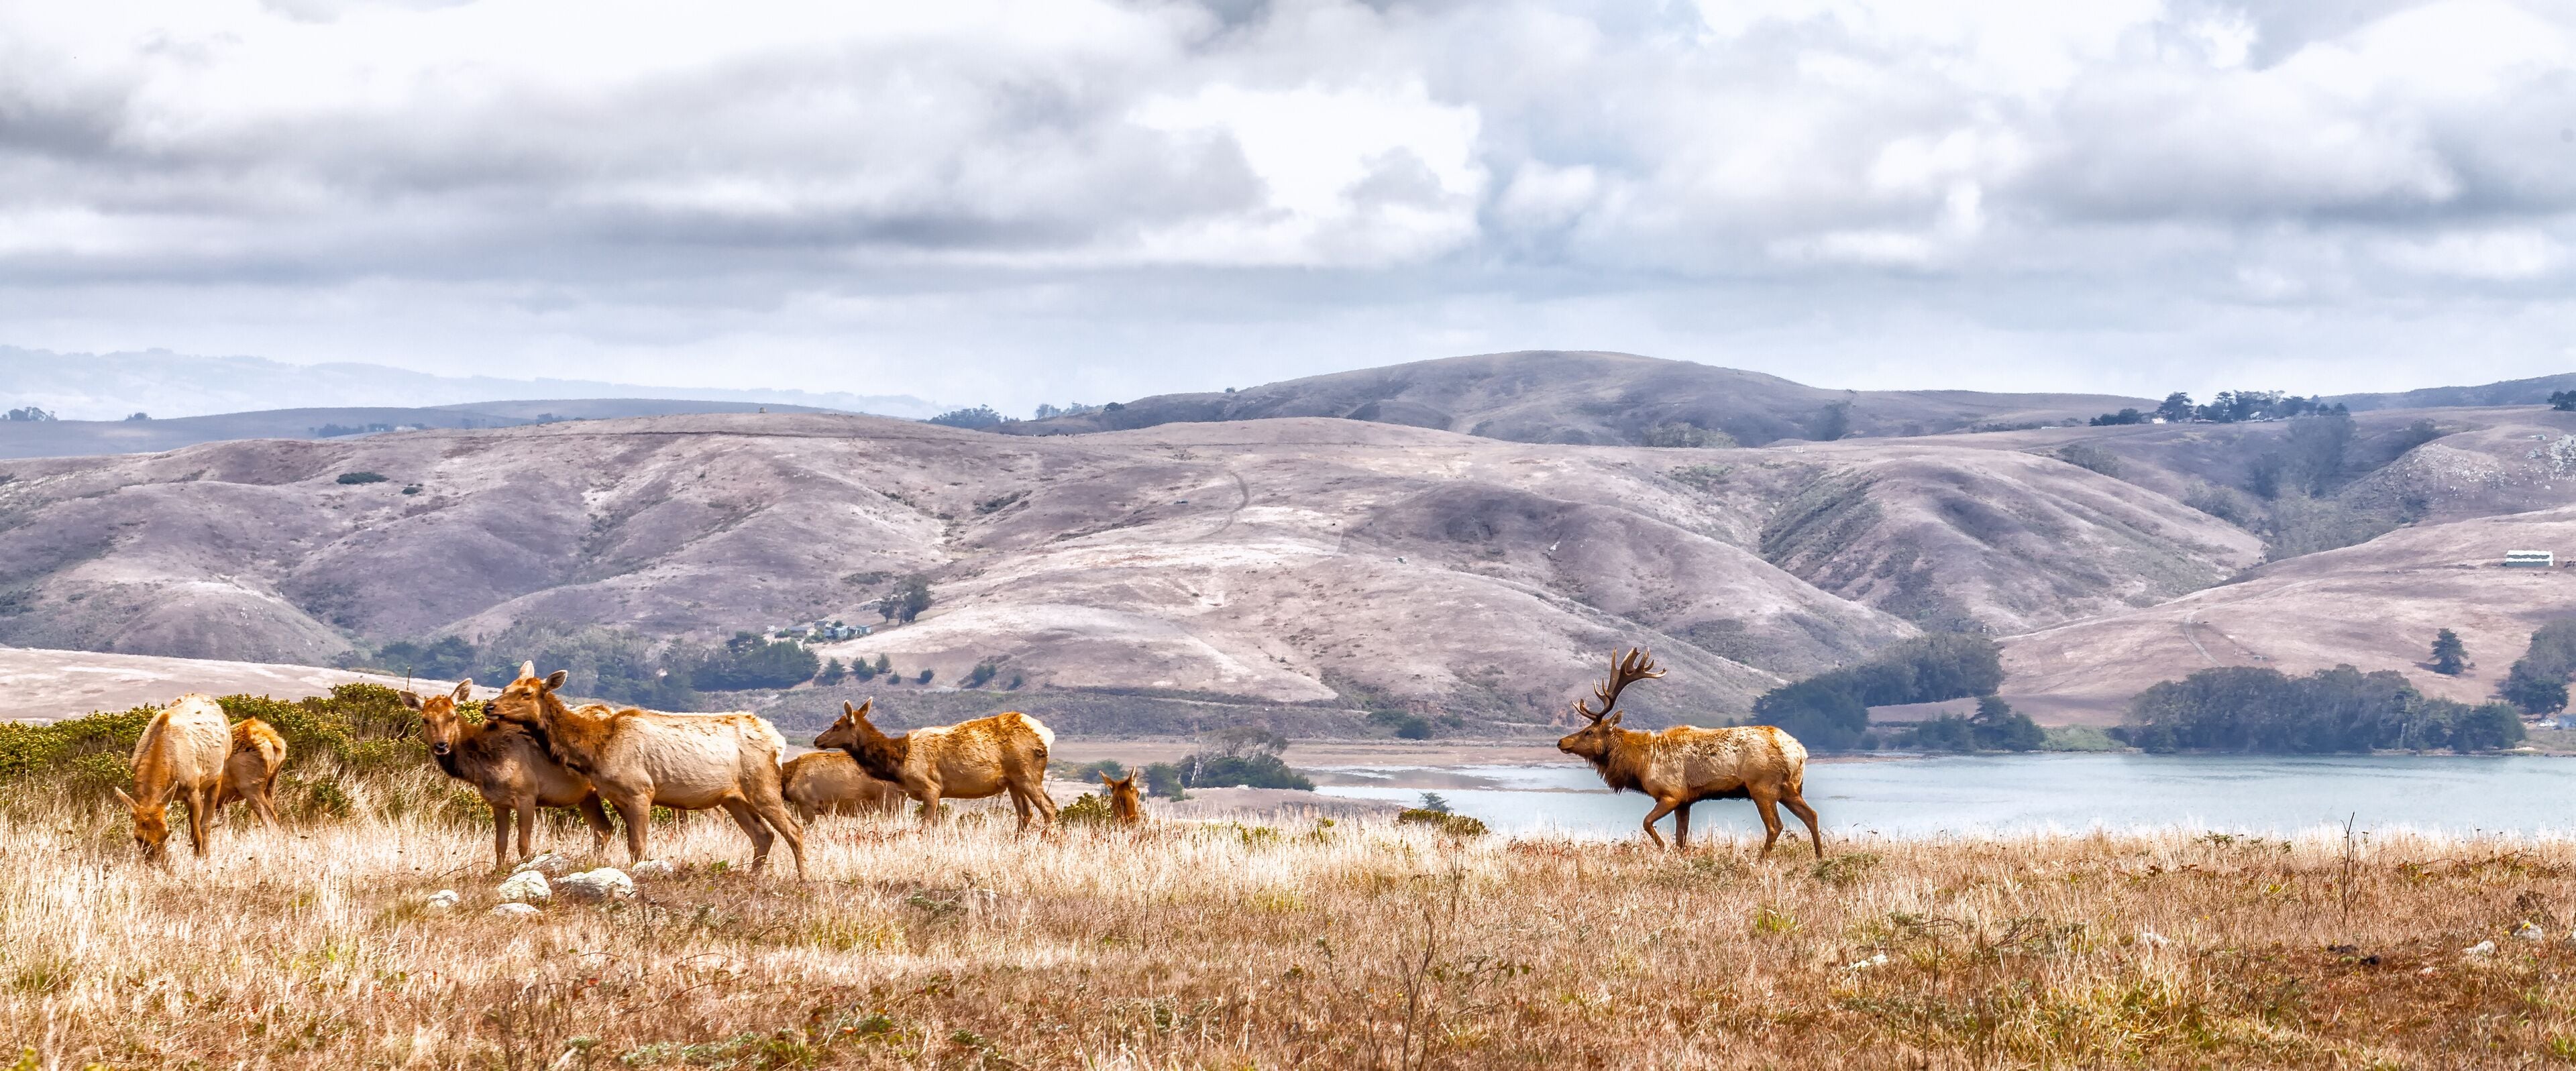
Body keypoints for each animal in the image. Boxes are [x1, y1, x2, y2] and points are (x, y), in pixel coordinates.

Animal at [114, 694, 234, 863]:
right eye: (138, 837)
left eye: (166, 834)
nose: (158, 864)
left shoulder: (192, 789)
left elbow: (196, 834)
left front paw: (200, 861)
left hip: (219, 772)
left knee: (206, 823)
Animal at [403, 680, 615, 868]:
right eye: (425, 719)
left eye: (453, 716)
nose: (441, 746)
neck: (484, 768)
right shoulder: (498, 803)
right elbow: (500, 844)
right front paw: (498, 871)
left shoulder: (527, 794)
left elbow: (523, 844)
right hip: (587, 796)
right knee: (603, 829)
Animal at [485, 663, 807, 878]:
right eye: (505, 688)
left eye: (527, 693)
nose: (489, 706)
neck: (596, 749)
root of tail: (777, 740)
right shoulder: (617, 796)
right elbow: (629, 843)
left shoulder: (641, 790)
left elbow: (640, 846)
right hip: (733, 798)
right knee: (763, 835)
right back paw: (753, 878)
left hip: (762, 784)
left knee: (794, 829)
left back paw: (803, 880)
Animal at [813, 700, 1058, 832]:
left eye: (836, 726)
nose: (817, 740)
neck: (898, 762)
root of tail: (1046, 735)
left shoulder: (931, 787)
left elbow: (928, 825)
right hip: (1013, 782)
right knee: (1025, 815)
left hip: (1027, 774)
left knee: (1049, 808)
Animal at [1557, 648, 1824, 856]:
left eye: (1589, 732)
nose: (1561, 742)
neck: (1641, 763)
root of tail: (1799, 752)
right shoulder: (1685, 801)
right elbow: (1681, 838)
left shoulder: (1671, 793)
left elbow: (1647, 823)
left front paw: (1663, 849)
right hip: (1790, 788)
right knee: (1811, 815)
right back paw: (1820, 857)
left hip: (1763, 786)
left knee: (1775, 826)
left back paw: (1761, 860)